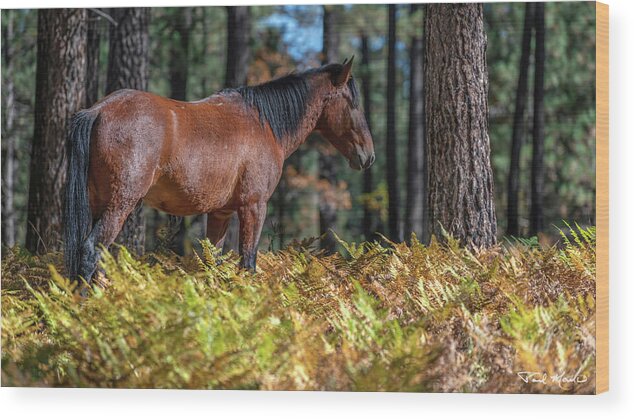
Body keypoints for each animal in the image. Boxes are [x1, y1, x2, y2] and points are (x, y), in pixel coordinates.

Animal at [64, 58, 372, 282]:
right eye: (353, 103)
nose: (368, 156)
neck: (263, 124)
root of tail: (98, 110)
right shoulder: (253, 206)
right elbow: (248, 262)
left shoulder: (220, 213)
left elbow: (213, 263)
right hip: (119, 205)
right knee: (90, 252)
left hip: (99, 204)